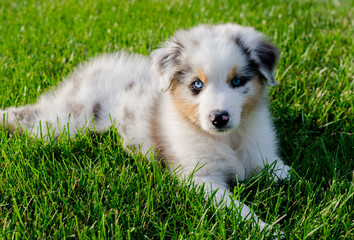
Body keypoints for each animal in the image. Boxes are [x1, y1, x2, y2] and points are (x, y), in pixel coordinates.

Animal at [0, 23, 290, 231]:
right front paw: (267, 229)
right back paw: (6, 117)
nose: (219, 118)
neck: (228, 140)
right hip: (66, 119)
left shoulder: (263, 156)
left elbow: (286, 173)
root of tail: (101, 63)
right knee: (34, 116)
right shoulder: (199, 177)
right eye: (197, 84)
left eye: (237, 81)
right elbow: (238, 208)